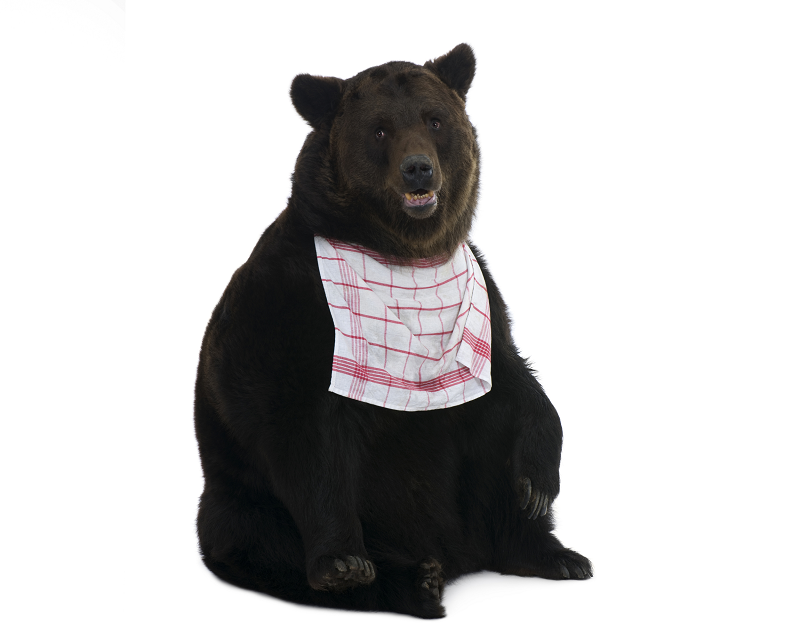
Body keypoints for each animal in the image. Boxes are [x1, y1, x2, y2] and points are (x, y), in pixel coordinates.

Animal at [194, 43, 592, 619]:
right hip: (240, 496)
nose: (418, 169)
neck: (406, 254)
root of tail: (459, 552)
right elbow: (302, 431)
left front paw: (540, 482)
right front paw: (342, 560)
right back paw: (408, 579)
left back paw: (552, 554)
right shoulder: (293, 303)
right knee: (261, 539)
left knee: (493, 453)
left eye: (434, 120)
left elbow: (513, 376)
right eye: (379, 130)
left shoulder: (479, 292)